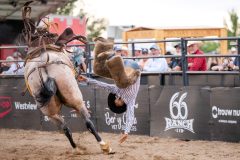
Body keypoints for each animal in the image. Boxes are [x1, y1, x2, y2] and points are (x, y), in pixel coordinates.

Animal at [21, 0, 113, 154]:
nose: (82, 66)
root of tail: (44, 68)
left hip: (49, 111)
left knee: (65, 128)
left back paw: (77, 149)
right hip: (75, 97)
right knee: (88, 122)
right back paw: (104, 145)